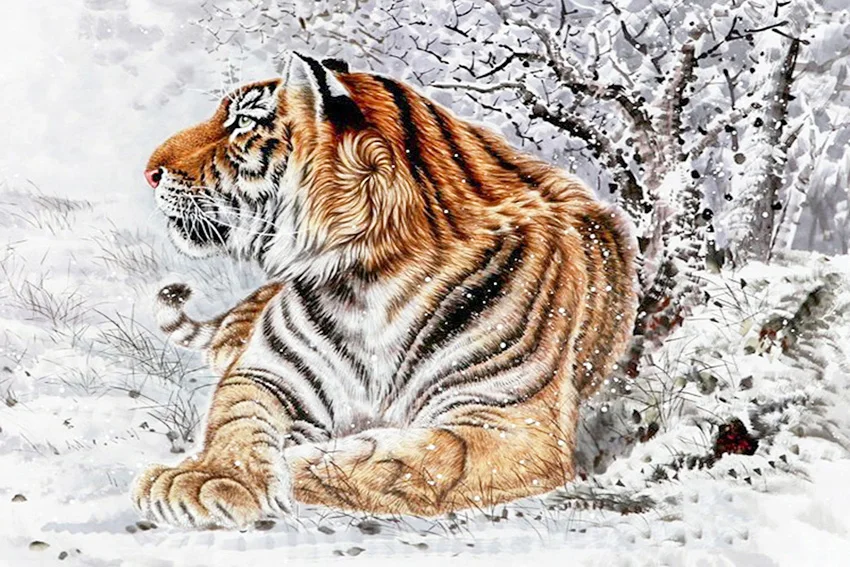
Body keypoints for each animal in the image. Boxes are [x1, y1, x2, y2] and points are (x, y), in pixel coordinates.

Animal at [133, 52, 638, 529]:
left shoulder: (510, 418)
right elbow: (235, 419)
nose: (149, 172)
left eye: (241, 124)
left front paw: (296, 460)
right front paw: (209, 478)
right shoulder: (268, 373)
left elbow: (419, 462)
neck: (372, 279)